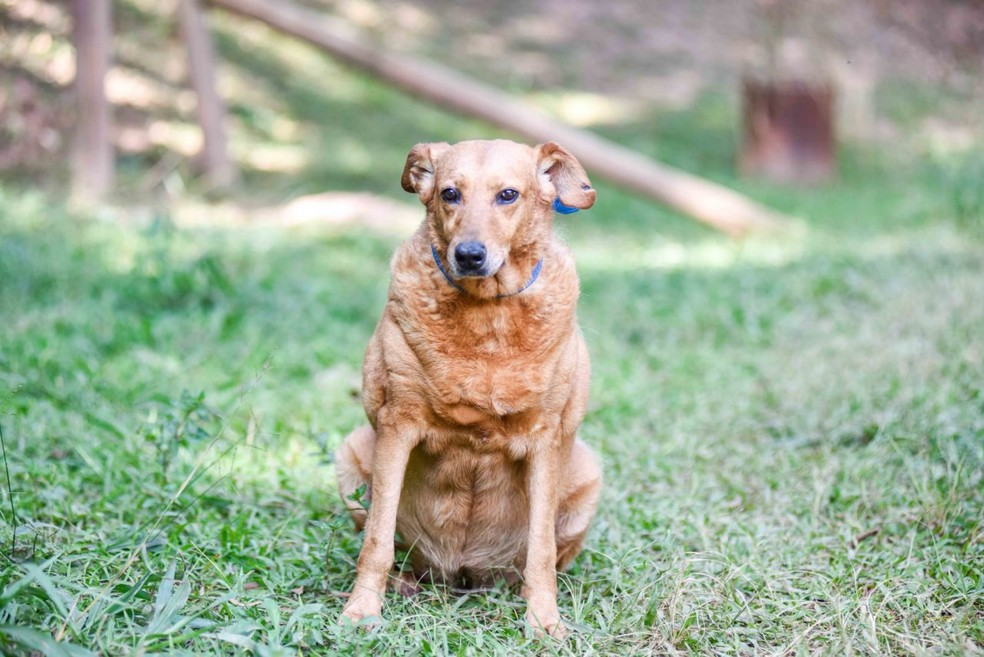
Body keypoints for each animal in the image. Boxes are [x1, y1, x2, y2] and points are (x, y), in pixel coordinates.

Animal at [335, 139, 602, 638]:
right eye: (450, 193)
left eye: (508, 195)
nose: (470, 255)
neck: (487, 315)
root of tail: (463, 573)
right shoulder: (397, 426)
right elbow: (377, 542)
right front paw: (362, 611)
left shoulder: (545, 438)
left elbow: (540, 553)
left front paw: (544, 622)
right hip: (352, 455)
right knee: (395, 549)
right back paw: (404, 584)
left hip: (587, 476)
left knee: (543, 560)